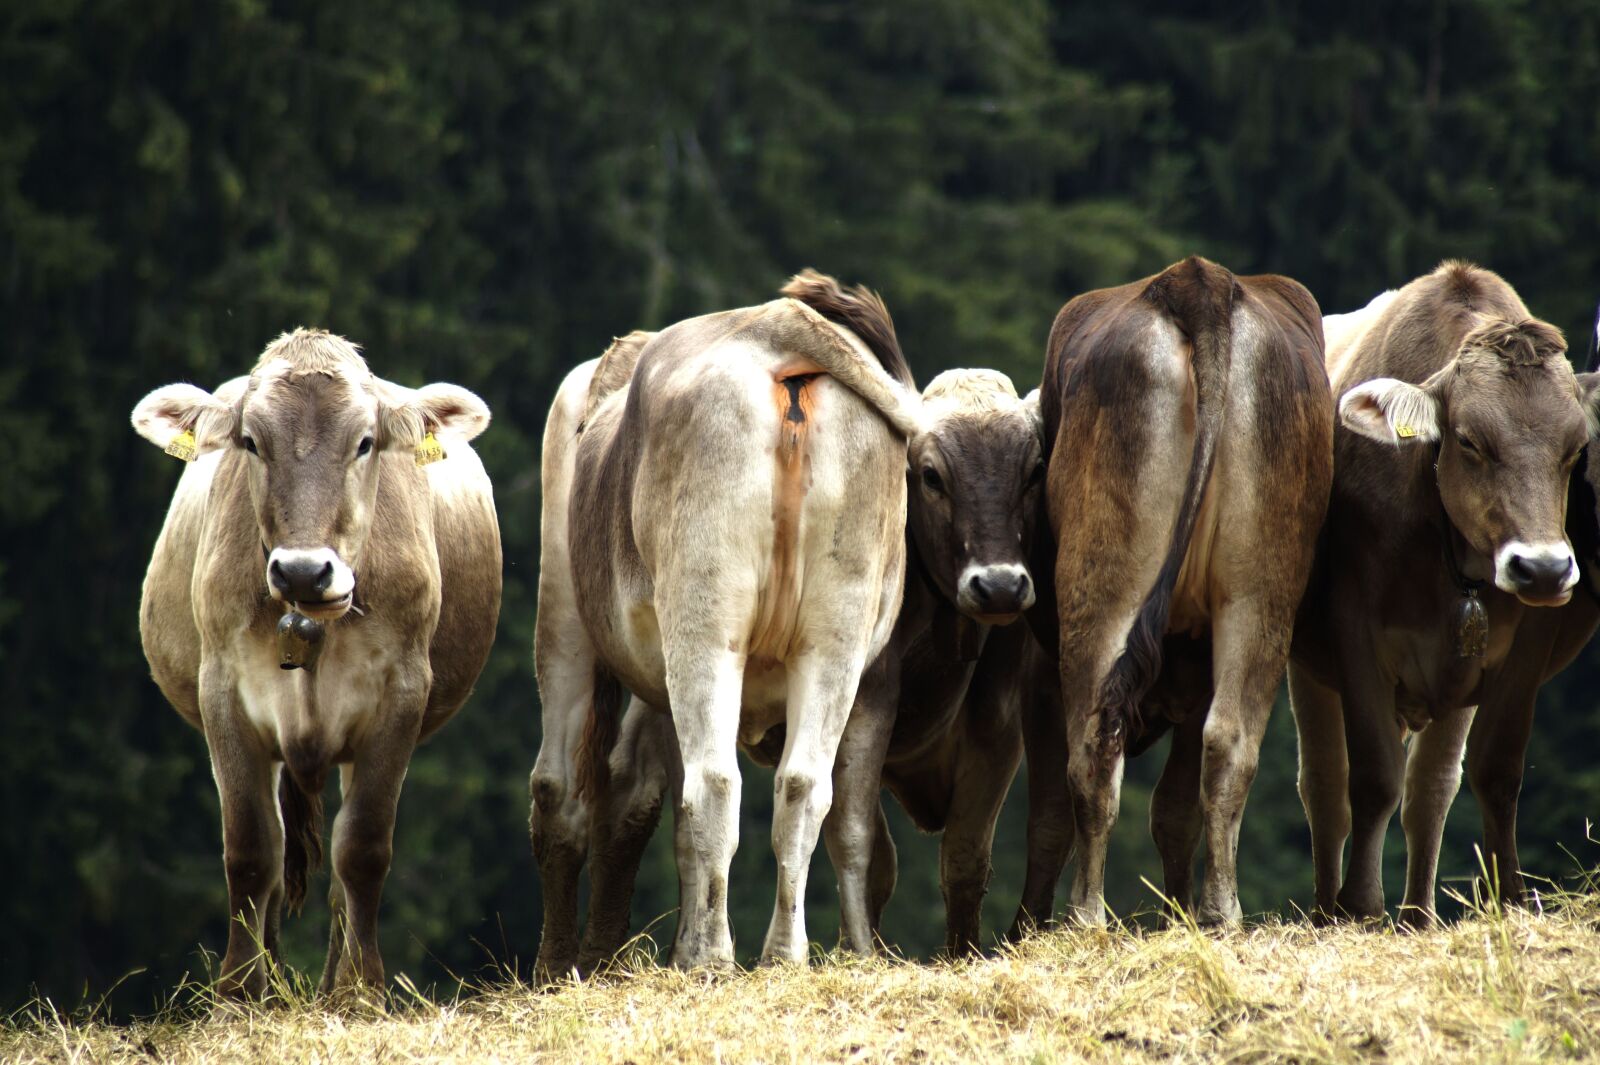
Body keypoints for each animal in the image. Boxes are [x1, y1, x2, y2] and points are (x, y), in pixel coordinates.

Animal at [132, 329, 501, 999]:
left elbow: (363, 848)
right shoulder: (222, 691)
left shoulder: (400, 694)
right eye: (251, 442)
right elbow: (251, 849)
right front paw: (239, 993)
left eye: (365, 442)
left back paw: (334, 982)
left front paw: (362, 991)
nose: (304, 571)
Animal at [530, 272, 922, 975]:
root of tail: (773, 324)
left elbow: (580, 792)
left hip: (699, 623)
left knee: (703, 784)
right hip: (835, 634)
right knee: (802, 788)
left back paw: (712, 955)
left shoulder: (570, 620)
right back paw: (780, 955)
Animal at [538, 361, 1050, 975]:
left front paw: (957, 953)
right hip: (568, 626)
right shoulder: (870, 696)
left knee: (662, 796)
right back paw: (566, 964)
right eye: (931, 475)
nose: (999, 585)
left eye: (1033, 471)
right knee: (565, 788)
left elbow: (960, 855)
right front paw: (861, 950)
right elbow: (857, 838)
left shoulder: (996, 716)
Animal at [1024, 256, 1333, 927]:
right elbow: (1174, 807)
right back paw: (1208, 912)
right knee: (1218, 743)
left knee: (1106, 745)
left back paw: (1097, 915)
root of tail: (1198, 281)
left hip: (1113, 585)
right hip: (1258, 591)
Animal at [1290, 264, 1600, 925]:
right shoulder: (1353, 629)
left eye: (1573, 450)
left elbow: (1494, 767)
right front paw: (1360, 905)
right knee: (1324, 785)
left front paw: (1511, 896)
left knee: (1430, 788)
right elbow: (1372, 774)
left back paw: (1417, 914)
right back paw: (1328, 909)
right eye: (1469, 441)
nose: (1541, 568)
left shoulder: (1523, 643)